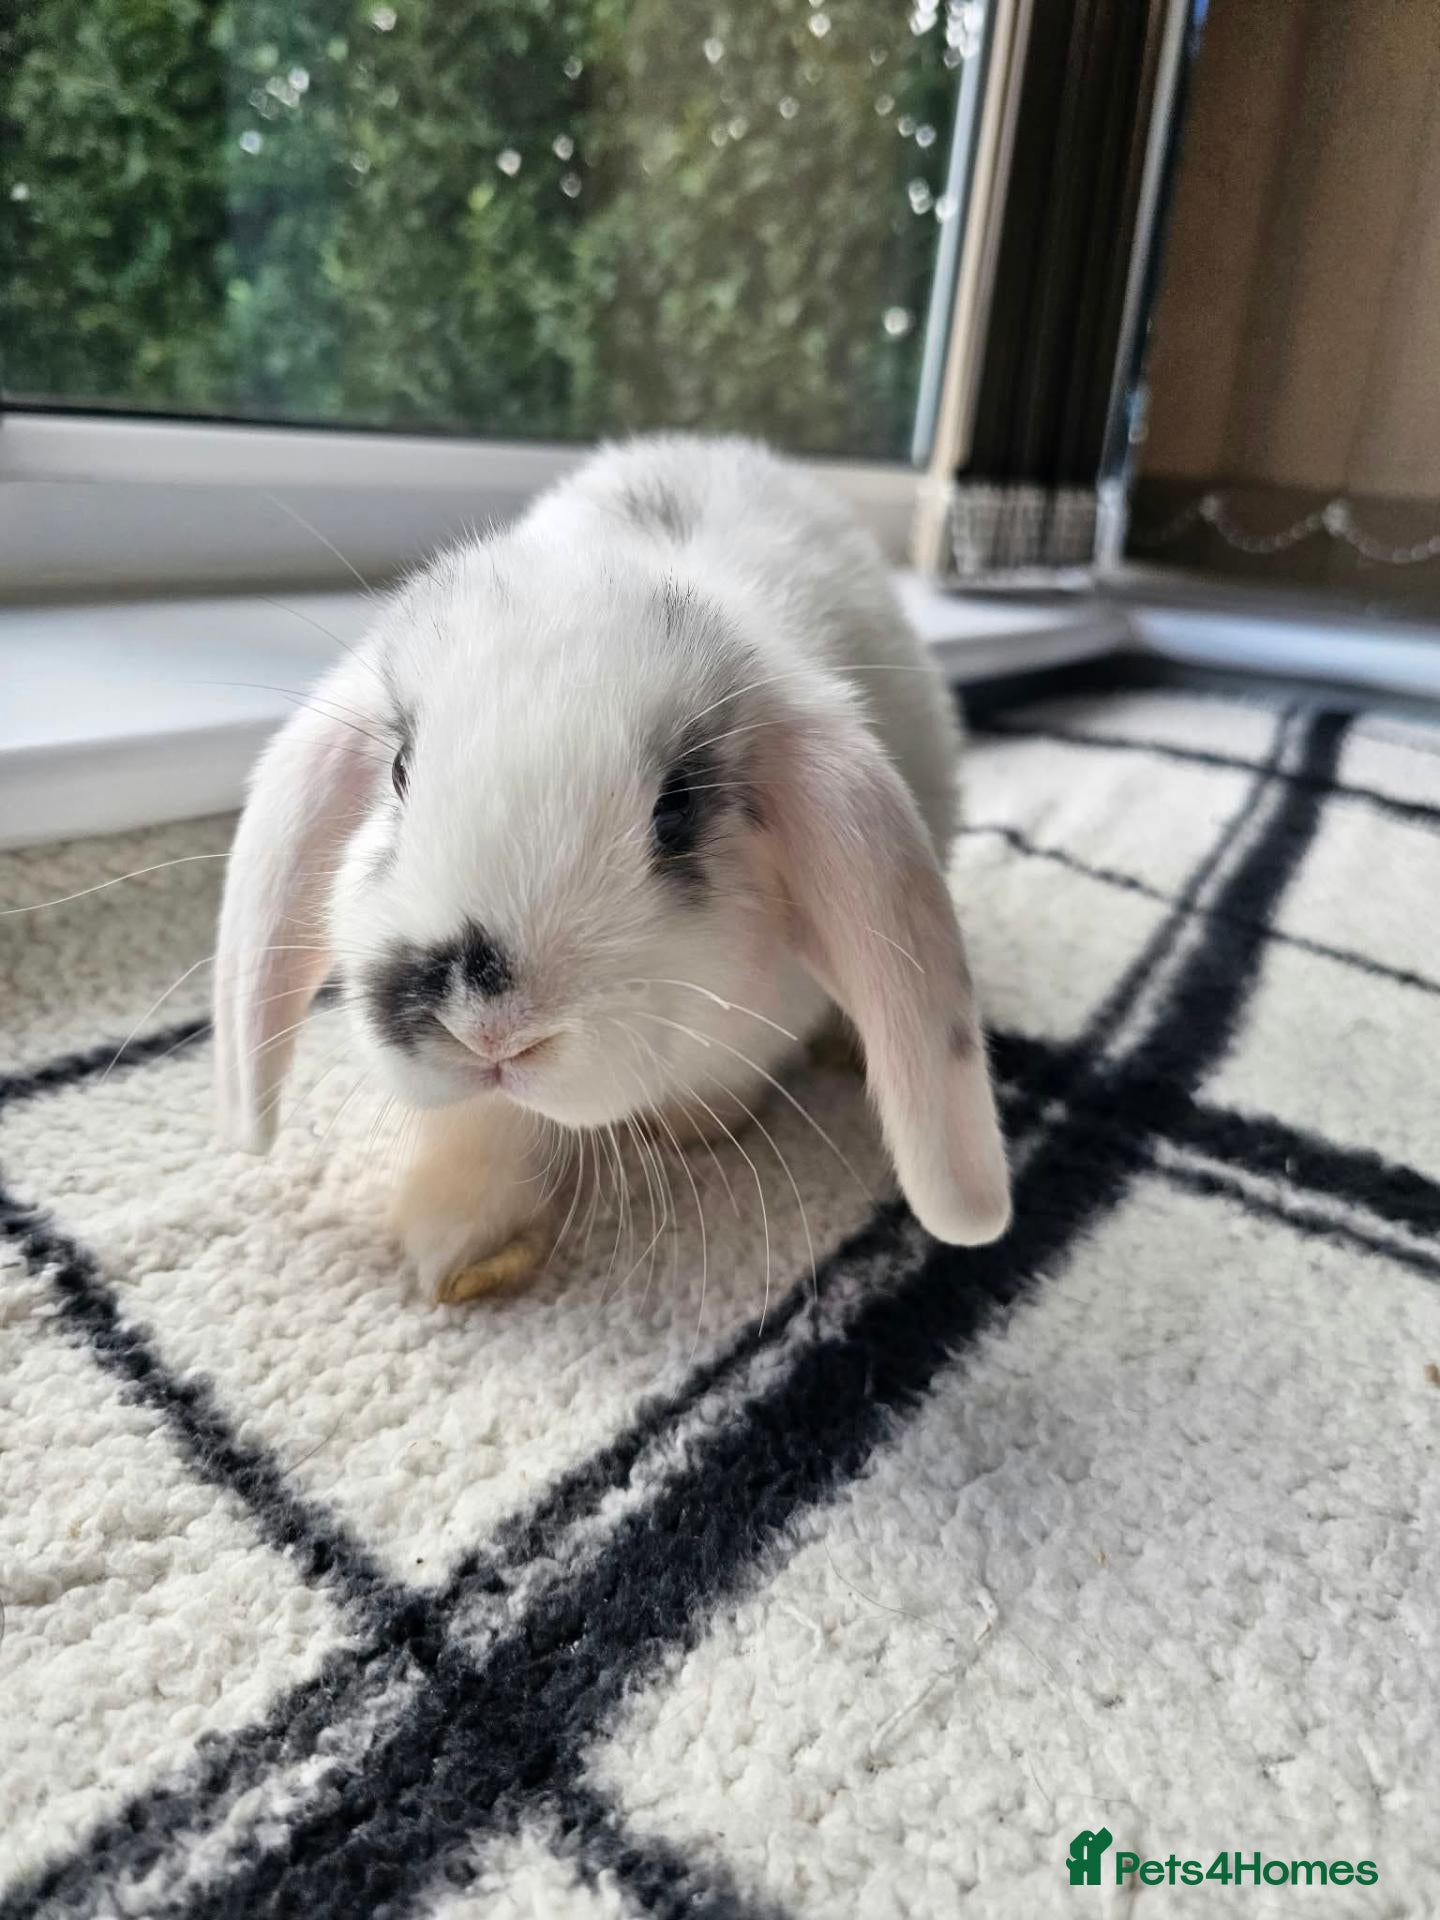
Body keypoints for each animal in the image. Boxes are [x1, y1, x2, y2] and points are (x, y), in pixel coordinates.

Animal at [214, 435, 1010, 1302]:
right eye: (398, 770)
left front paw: (693, 1128)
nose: (488, 1031)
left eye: (677, 808)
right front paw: (463, 1247)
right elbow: (484, 1123)